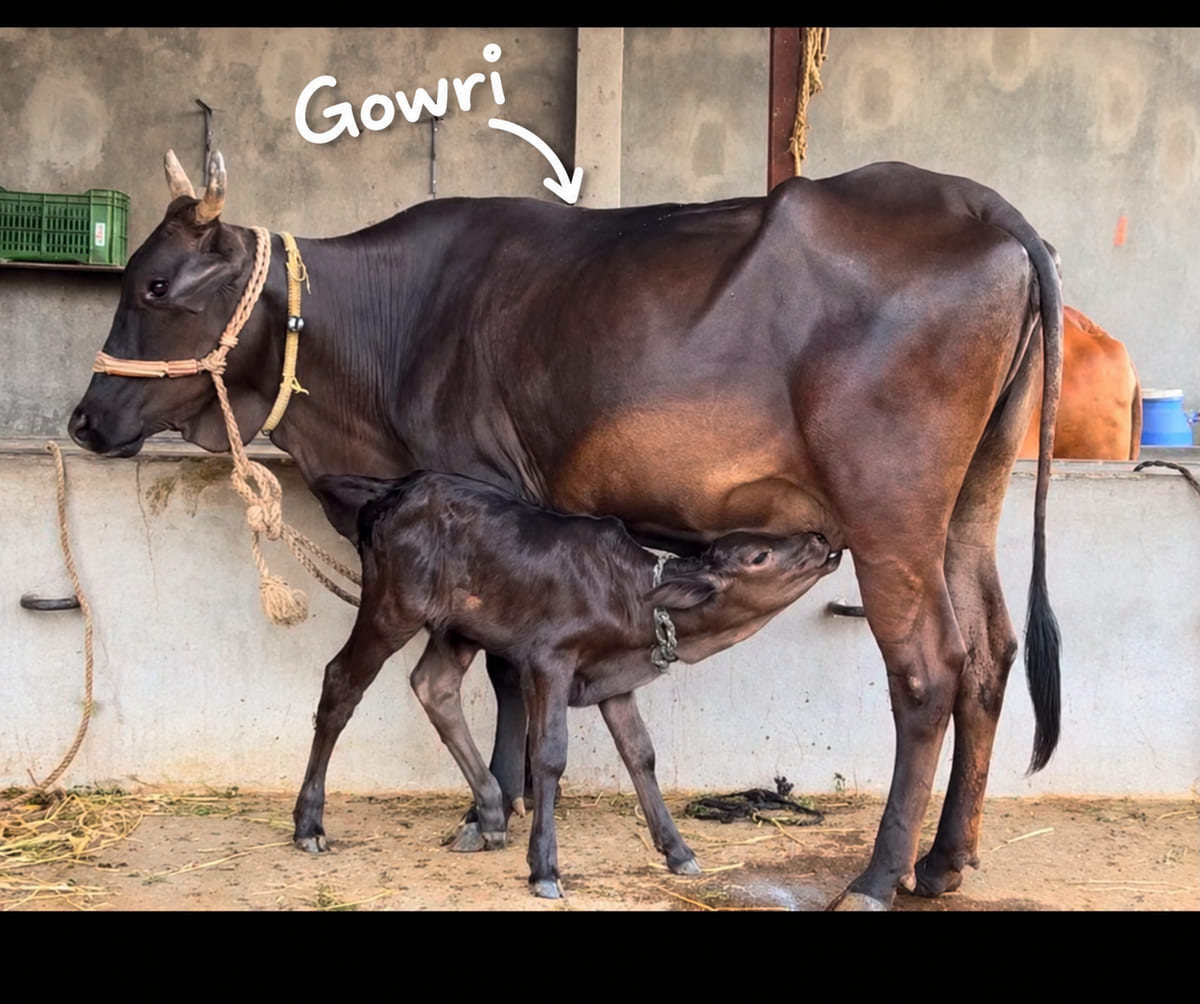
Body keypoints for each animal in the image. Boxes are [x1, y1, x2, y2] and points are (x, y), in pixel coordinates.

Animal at [306, 471, 841, 897]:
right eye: (761, 554)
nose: (819, 538)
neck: (634, 600)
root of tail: (397, 488)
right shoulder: (549, 660)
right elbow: (549, 755)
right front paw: (544, 869)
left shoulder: (613, 682)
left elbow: (640, 754)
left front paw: (678, 851)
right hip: (391, 606)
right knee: (341, 682)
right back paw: (310, 824)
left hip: (458, 629)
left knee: (433, 686)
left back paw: (491, 813)